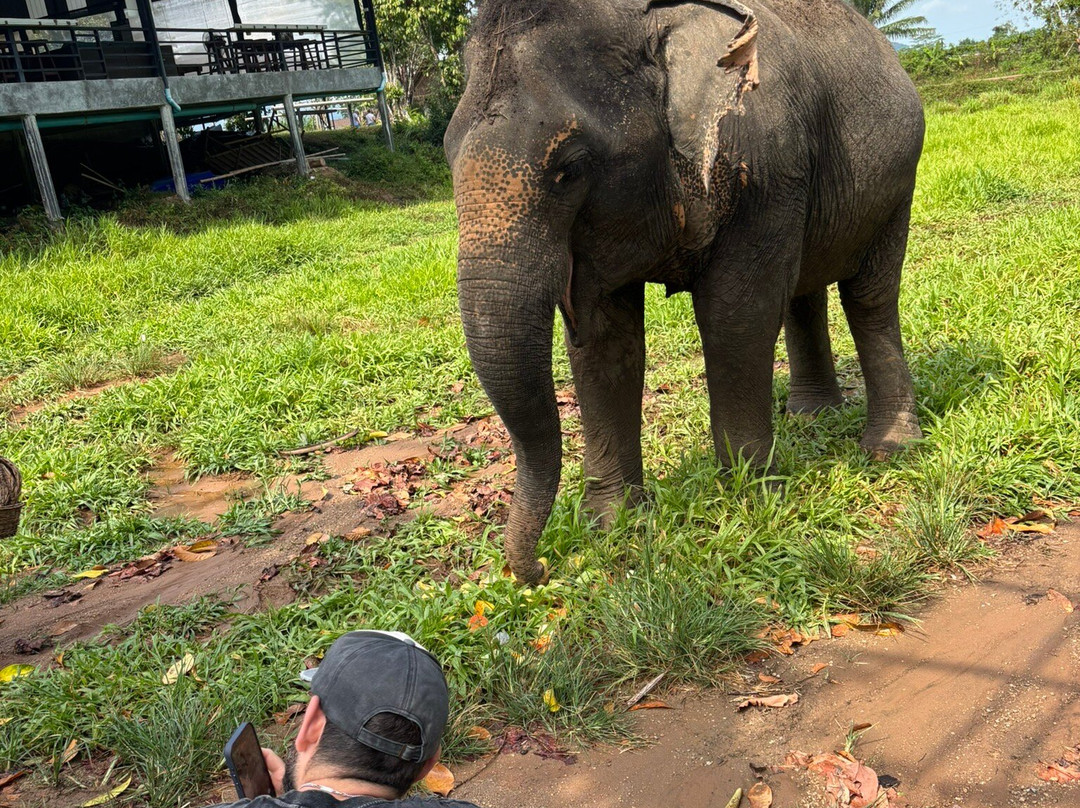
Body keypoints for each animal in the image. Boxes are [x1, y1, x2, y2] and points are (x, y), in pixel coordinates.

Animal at [445, 0, 925, 584]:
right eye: (446, 157)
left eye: (571, 168)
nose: (539, 567)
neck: (647, 20)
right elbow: (607, 344)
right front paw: (614, 525)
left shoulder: (764, 162)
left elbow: (736, 317)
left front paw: (752, 502)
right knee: (802, 292)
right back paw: (810, 415)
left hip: (897, 183)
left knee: (869, 297)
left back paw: (889, 448)